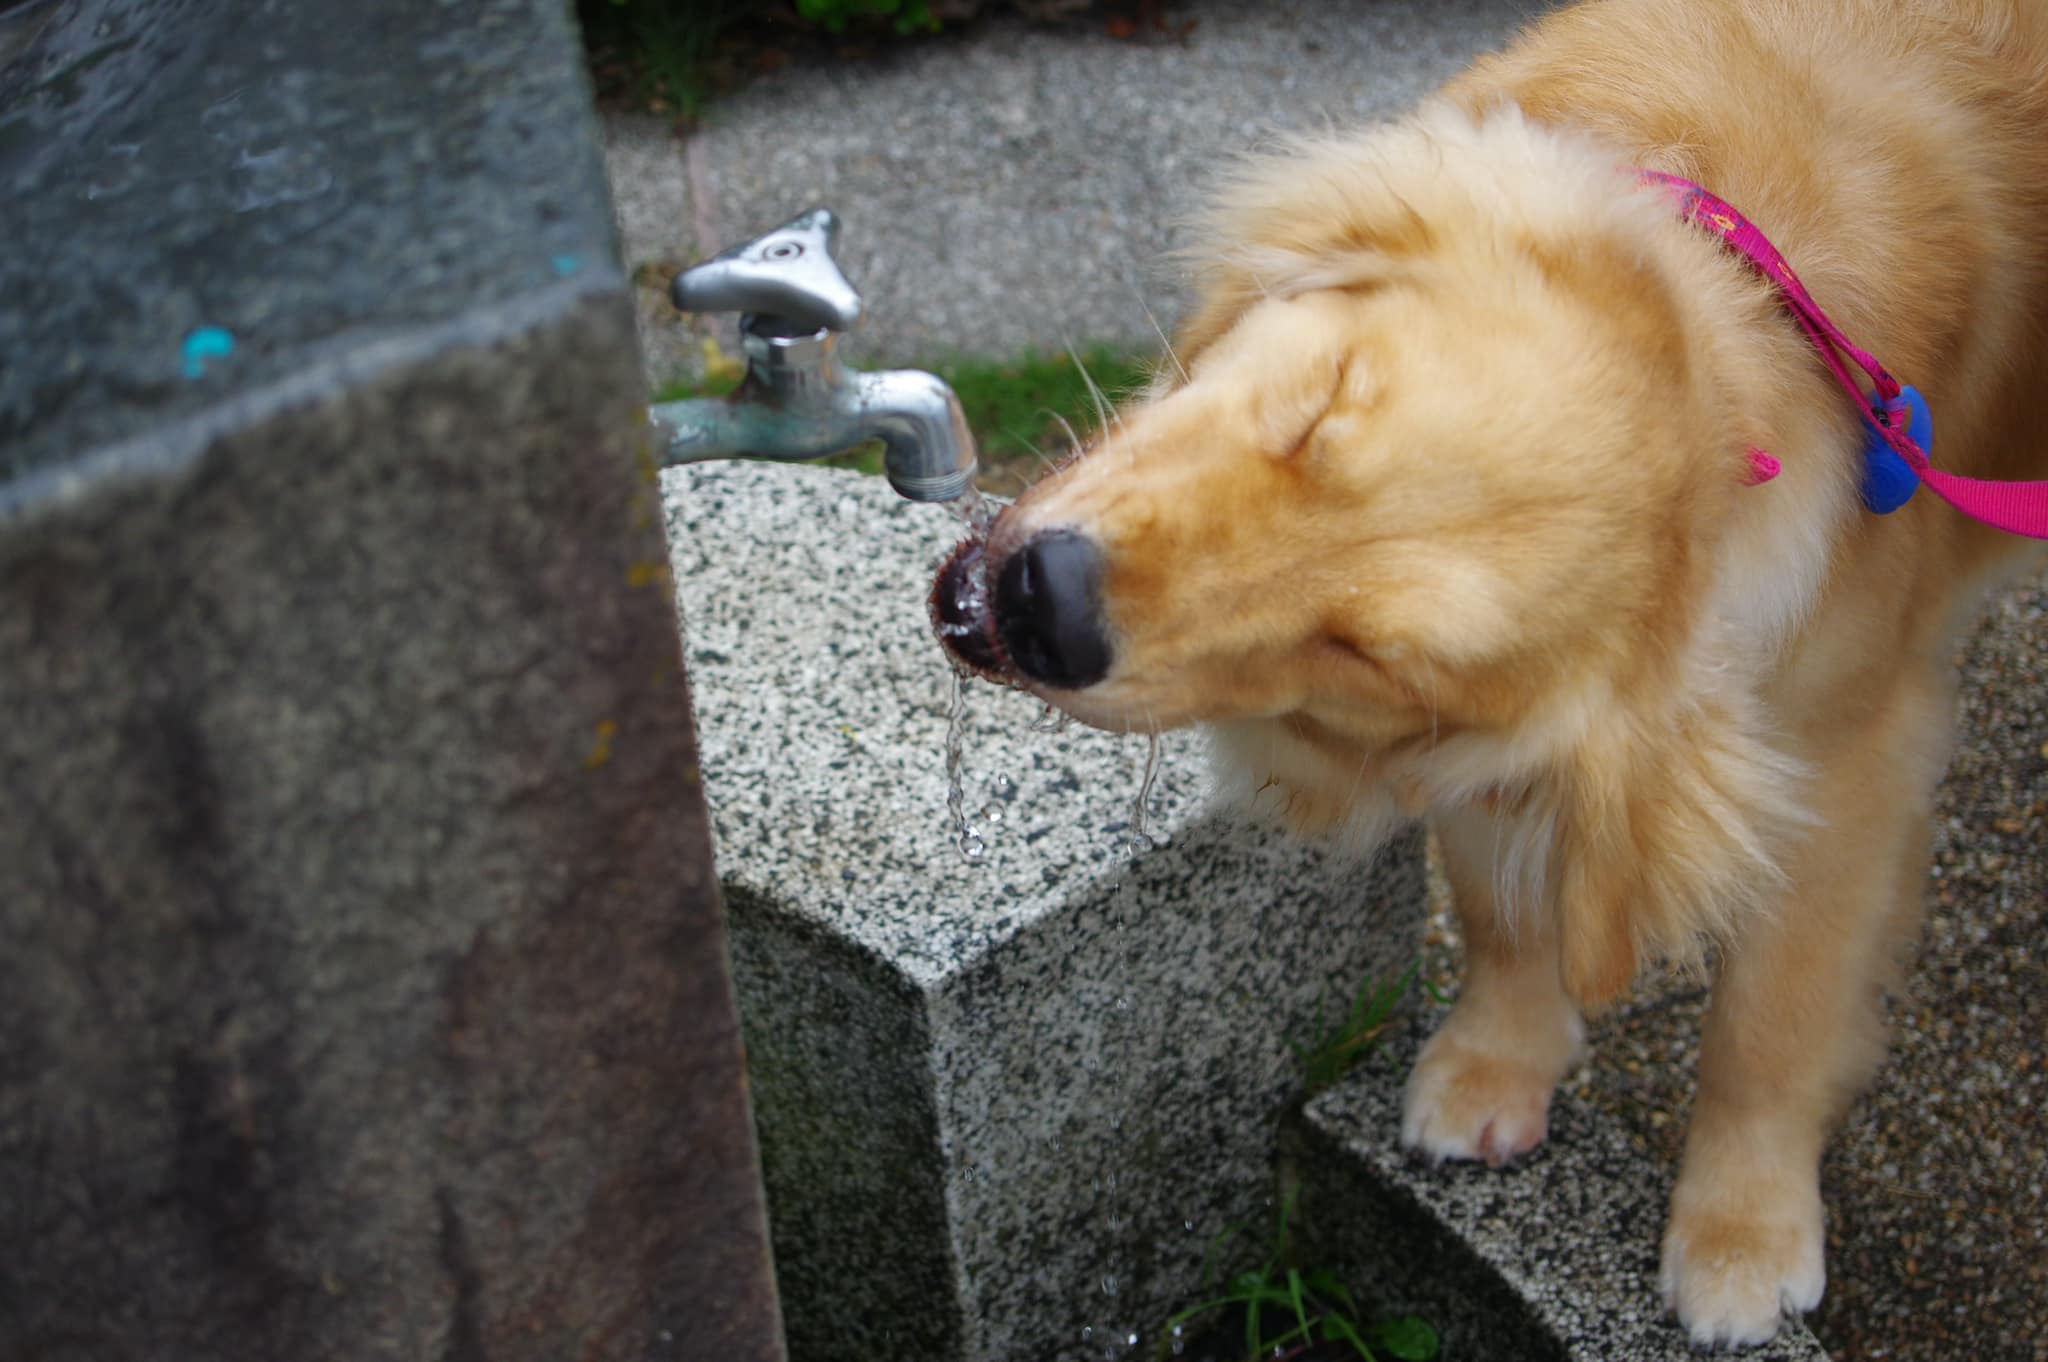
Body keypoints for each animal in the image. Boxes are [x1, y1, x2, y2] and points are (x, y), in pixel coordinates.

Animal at [937, 0, 2048, 1343]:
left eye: (1361, 649)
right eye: (1319, 410)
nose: (1044, 608)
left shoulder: (1843, 763)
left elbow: (1770, 1019)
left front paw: (1741, 1227)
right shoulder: (1488, 762)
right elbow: (1498, 901)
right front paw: (1495, 1061)